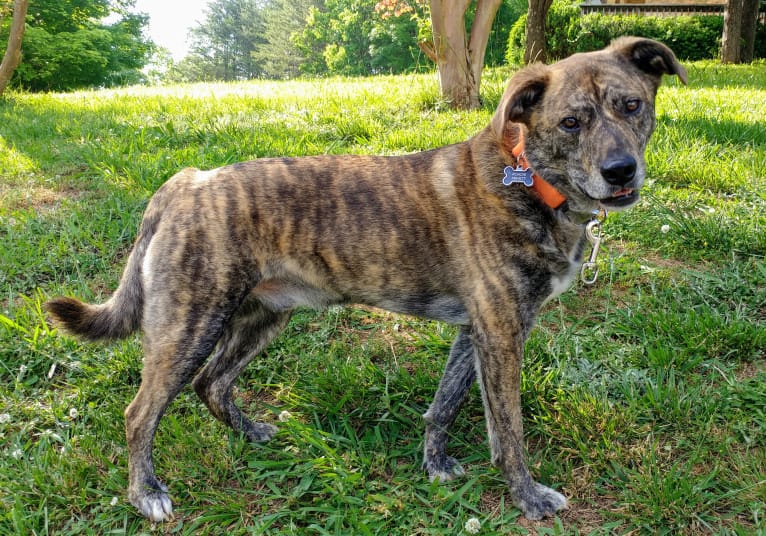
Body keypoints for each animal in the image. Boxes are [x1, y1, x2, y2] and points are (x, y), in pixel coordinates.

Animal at [48, 38, 688, 524]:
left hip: (262, 317)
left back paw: (250, 432)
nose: (621, 171)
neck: (527, 176)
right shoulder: (503, 334)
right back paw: (146, 494)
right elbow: (508, 432)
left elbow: (444, 405)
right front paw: (527, 497)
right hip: (189, 325)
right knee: (140, 413)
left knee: (213, 384)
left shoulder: (477, 331)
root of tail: (183, 182)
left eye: (632, 105)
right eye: (571, 122)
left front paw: (434, 465)